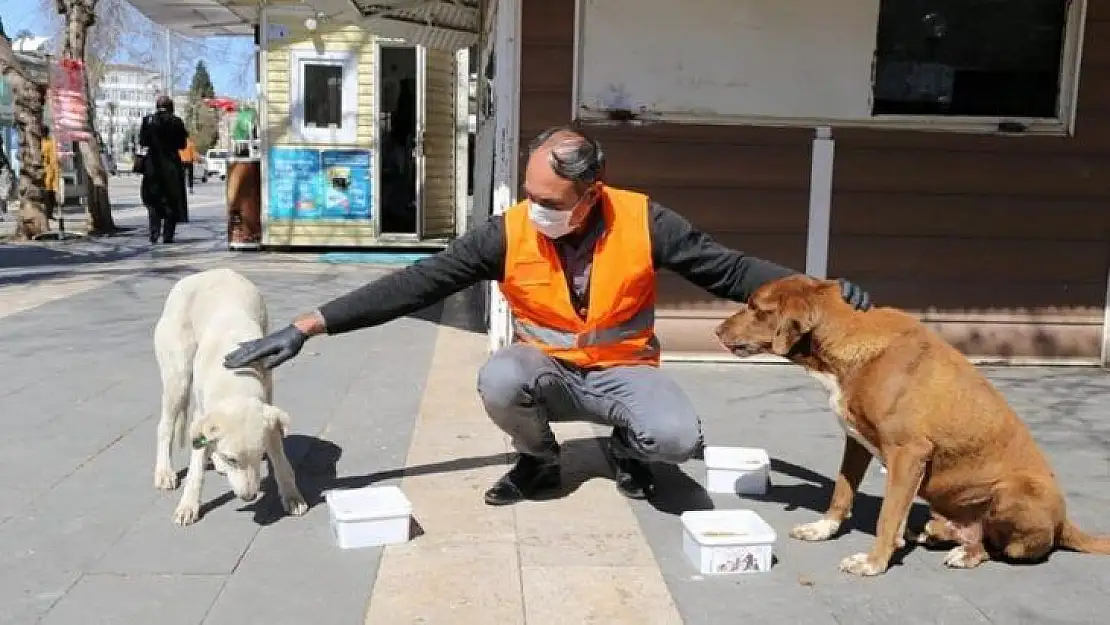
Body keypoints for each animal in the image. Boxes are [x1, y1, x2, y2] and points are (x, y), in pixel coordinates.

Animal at [152, 268, 308, 528]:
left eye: (258, 455)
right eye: (232, 459)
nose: (249, 497)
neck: (235, 381)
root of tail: (207, 272)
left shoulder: (269, 414)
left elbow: (280, 459)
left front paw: (291, 495)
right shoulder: (201, 418)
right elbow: (195, 472)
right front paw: (188, 505)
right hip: (178, 379)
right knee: (165, 426)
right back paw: (164, 471)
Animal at [714, 276, 1105, 581]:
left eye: (754, 306)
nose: (716, 331)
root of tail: (1064, 524)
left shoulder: (908, 453)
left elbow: (887, 517)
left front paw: (873, 562)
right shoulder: (856, 442)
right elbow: (841, 492)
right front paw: (822, 529)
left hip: (1013, 491)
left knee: (996, 547)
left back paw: (963, 552)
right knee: (961, 534)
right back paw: (932, 533)